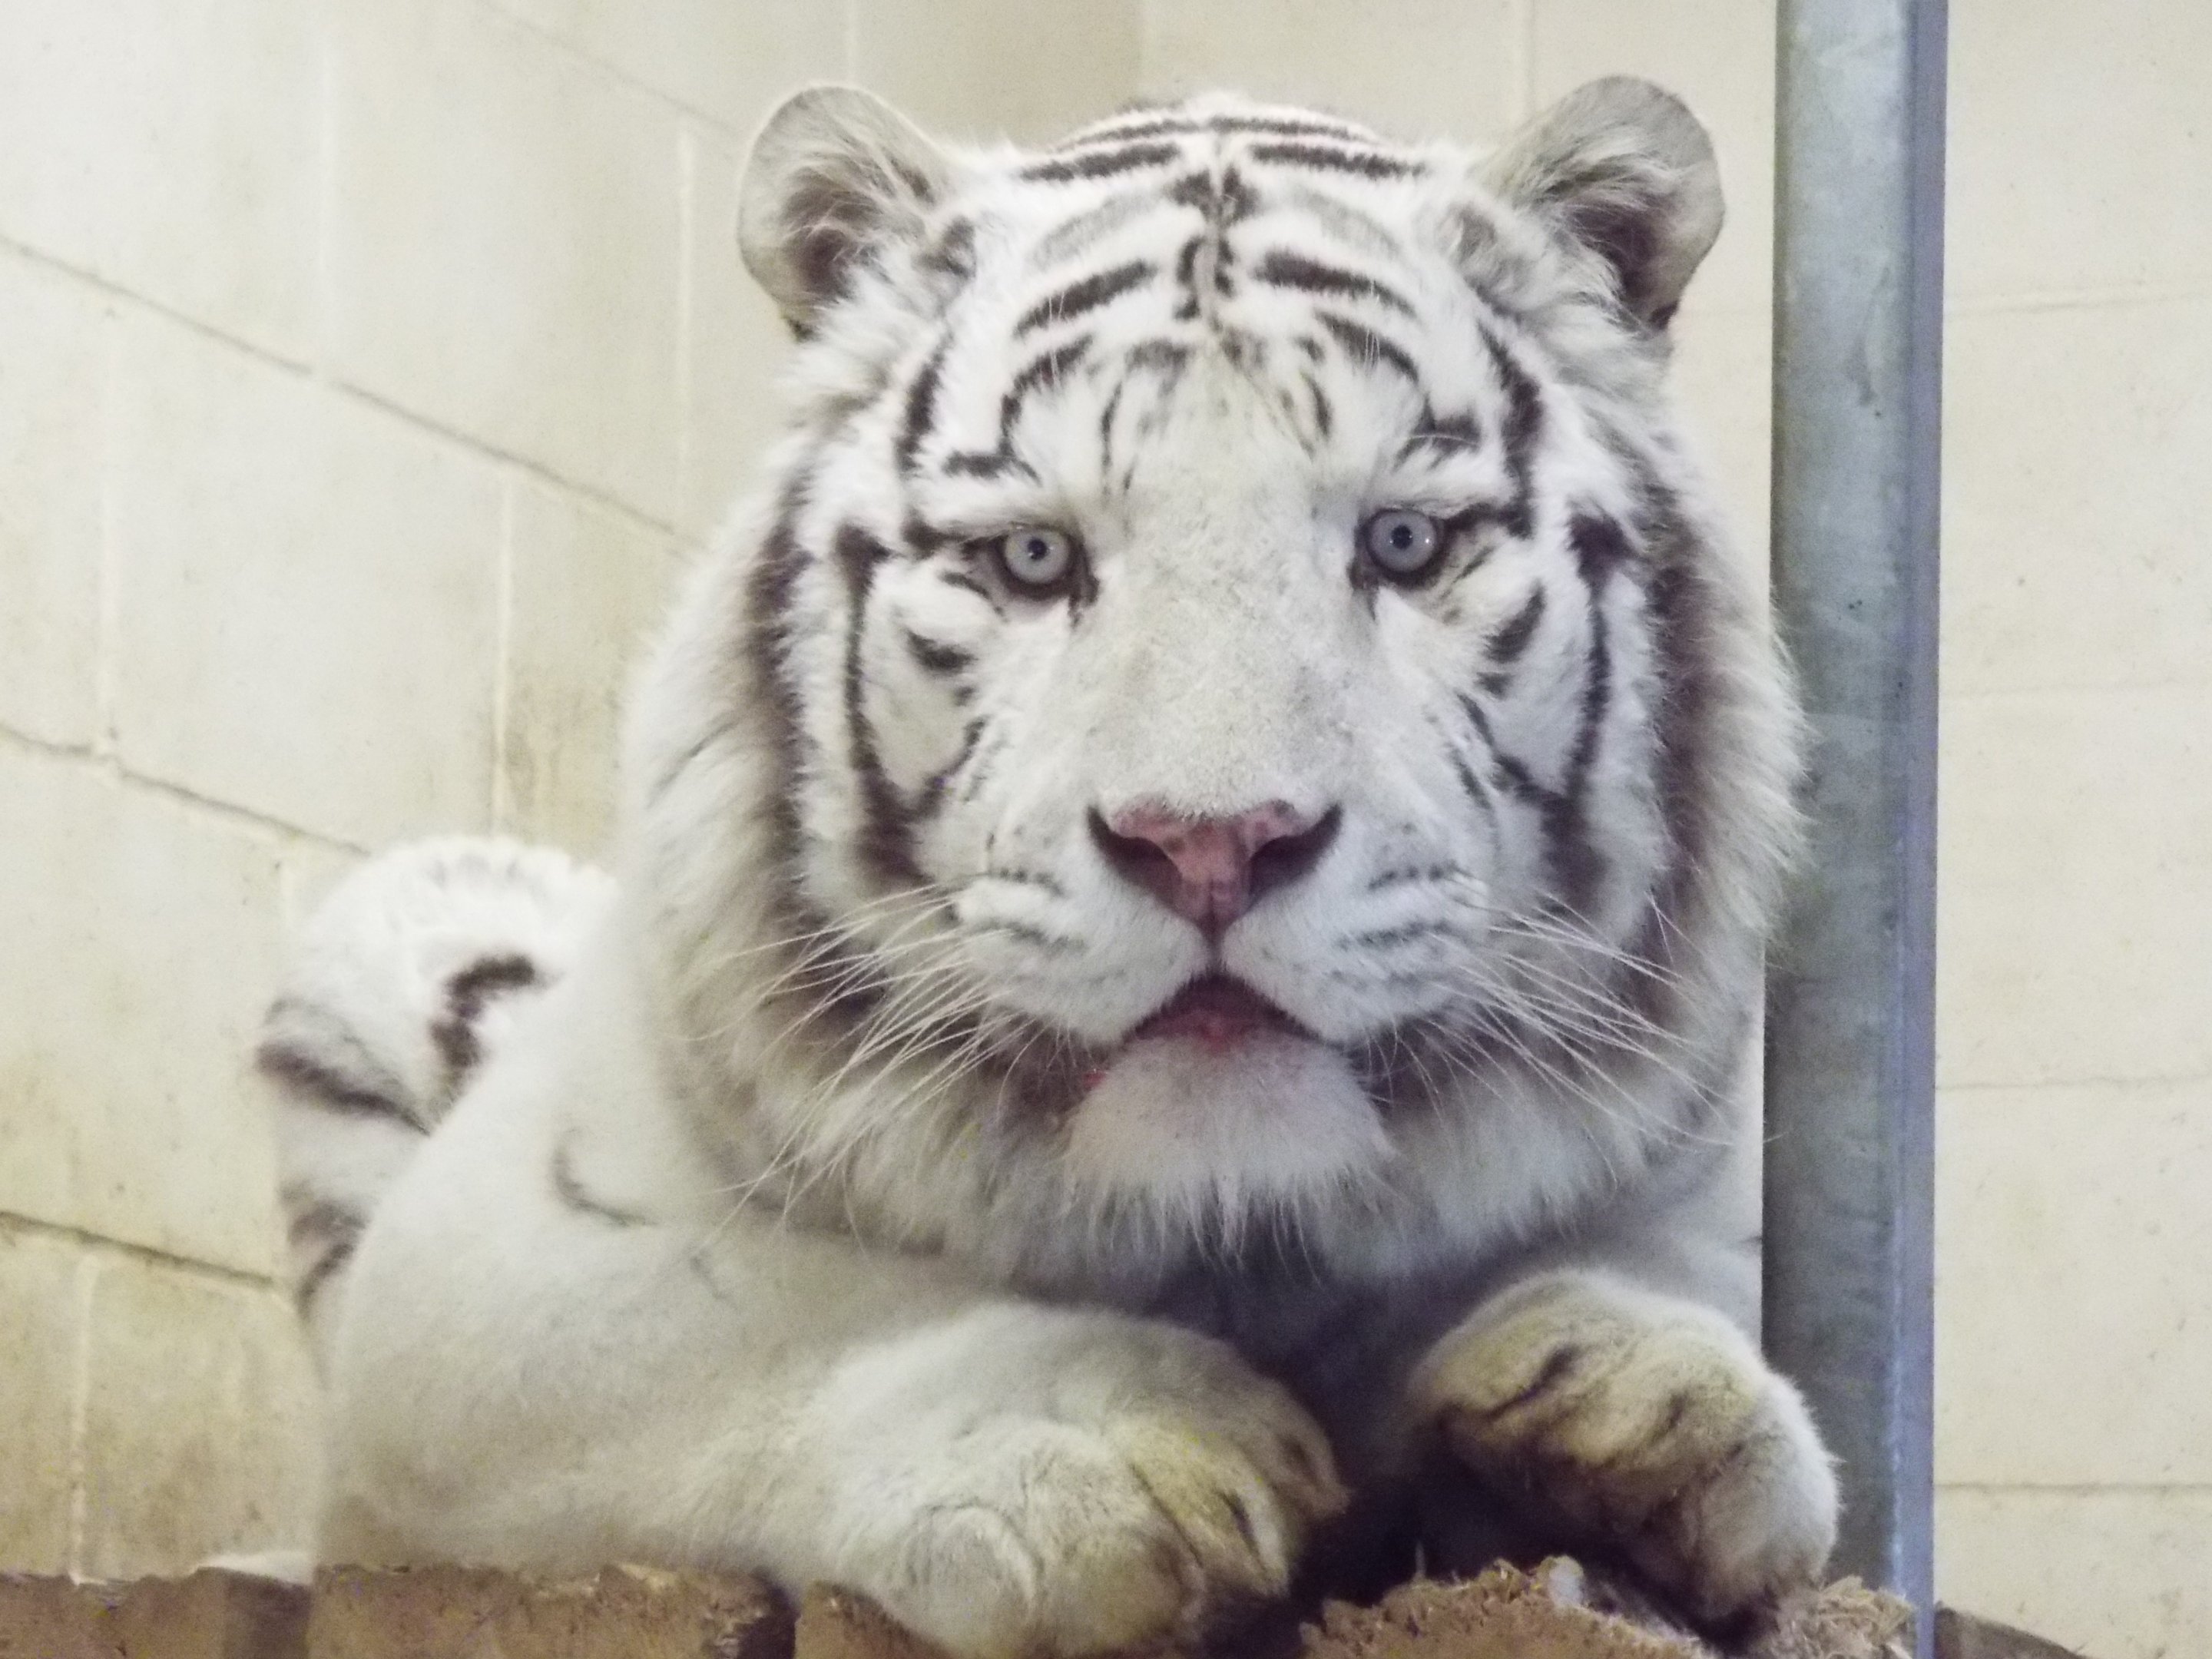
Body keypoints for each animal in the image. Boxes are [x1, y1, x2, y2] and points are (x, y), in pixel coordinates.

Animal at [258, 77, 1837, 1658]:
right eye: (1030, 558)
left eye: (1403, 541)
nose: (1211, 843)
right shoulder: (468, 1275)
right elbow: (752, 1315)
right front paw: (1104, 1446)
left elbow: (1686, 1294)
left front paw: (1627, 1393)